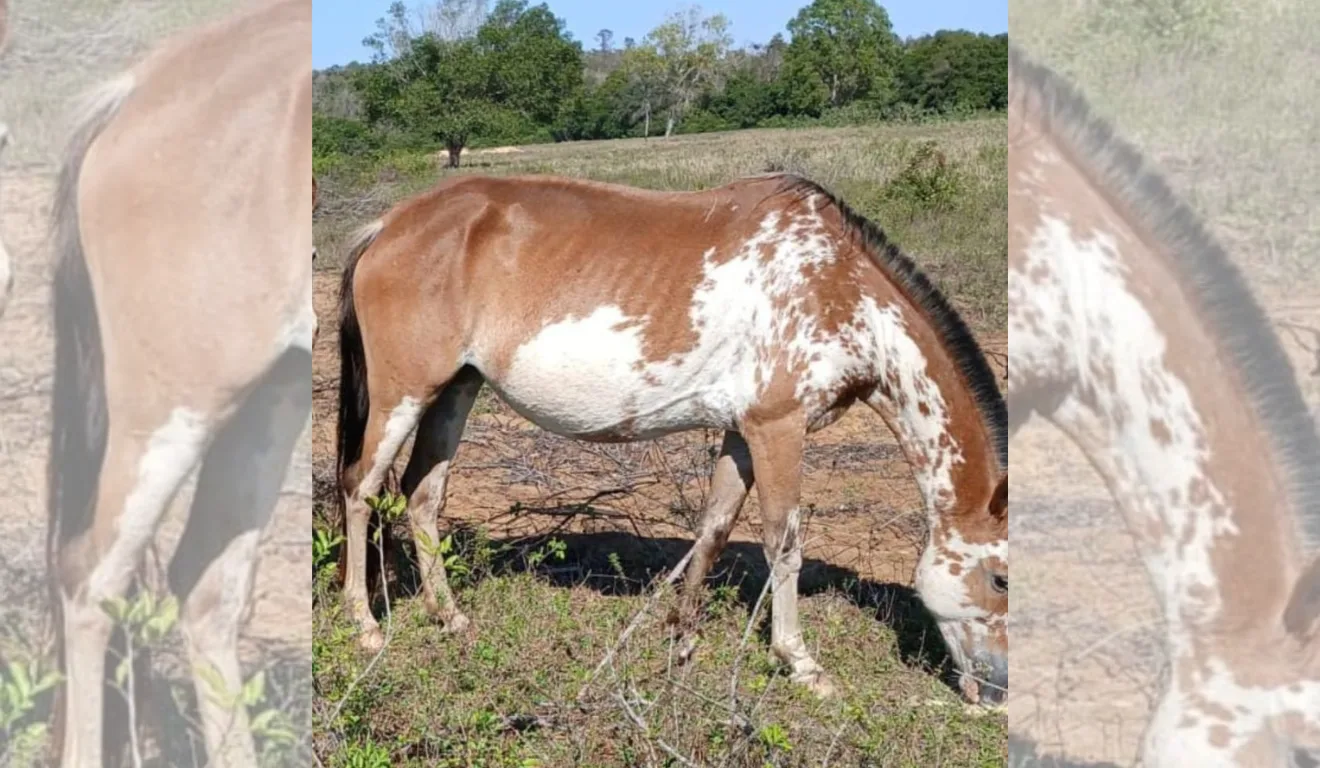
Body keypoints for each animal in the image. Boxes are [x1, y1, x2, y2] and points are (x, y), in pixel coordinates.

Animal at [332, 171, 1008, 707]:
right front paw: (801, 663)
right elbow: (783, 544)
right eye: (1001, 579)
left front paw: (681, 639)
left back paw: (451, 618)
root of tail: (388, 224)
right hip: (403, 394)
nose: (998, 694)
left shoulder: (741, 433)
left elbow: (714, 527)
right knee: (361, 488)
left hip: (456, 390)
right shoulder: (778, 428)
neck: (843, 292)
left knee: (422, 493)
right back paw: (364, 624)